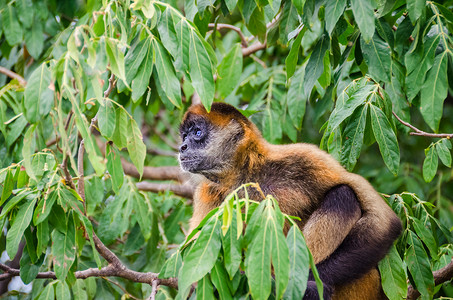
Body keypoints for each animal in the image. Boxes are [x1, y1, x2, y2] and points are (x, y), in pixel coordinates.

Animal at [178, 103, 400, 300]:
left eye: (197, 132)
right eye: (184, 136)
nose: (182, 147)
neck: (246, 175)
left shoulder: (304, 156)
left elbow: (385, 221)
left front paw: (304, 285)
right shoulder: (207, 193)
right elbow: (194, 279)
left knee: (344, 195)